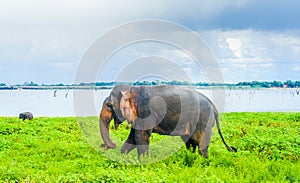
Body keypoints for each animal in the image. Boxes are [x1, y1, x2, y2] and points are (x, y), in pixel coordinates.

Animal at [100, 85, 237, 158]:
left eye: (109, 105)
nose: (107, 146)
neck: (132, 90)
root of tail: (213, 105)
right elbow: (133, 137)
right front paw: (123, 156)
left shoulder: (145, 112)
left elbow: (141, 137)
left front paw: (142, 162)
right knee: (190, 141)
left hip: (203, 119)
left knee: (200, 143)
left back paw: (203, 161)